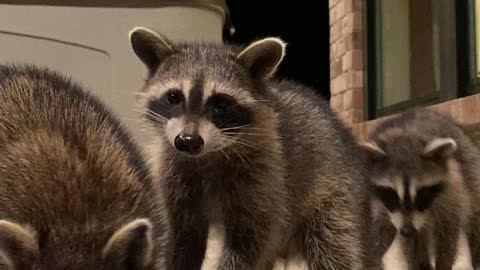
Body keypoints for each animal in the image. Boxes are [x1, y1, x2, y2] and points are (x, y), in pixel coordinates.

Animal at [128, 25, 372, 270]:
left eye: (221, 104)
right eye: (173, 97)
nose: (188, 140)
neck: (208, 155)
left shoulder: (265, 176)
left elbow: (247, 243)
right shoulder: (174, 174)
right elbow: (184, 237)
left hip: (333, 193)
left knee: (334, 244)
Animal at [360, 107, 480, 270]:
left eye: (422, 193)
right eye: (392, 195)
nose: (407, 230)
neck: (406, 135)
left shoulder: (452, 193)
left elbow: (447, 232)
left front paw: (443, 264)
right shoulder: (378, 201)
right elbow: (379, 233)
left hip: (471, 169)